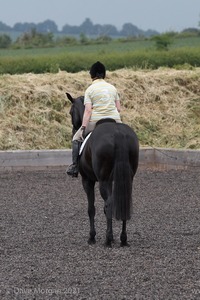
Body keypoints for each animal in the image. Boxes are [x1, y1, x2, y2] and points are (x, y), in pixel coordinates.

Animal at [66, 93, 138, 246]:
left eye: (70, 112)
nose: (74, 131)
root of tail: (118, 133)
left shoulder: (87, 180)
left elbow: (91, 209)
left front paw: (92, 237)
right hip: (126, 178)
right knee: (123, 201)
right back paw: (123, 239)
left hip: (103, 180)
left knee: (109, 203)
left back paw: (108, 239)